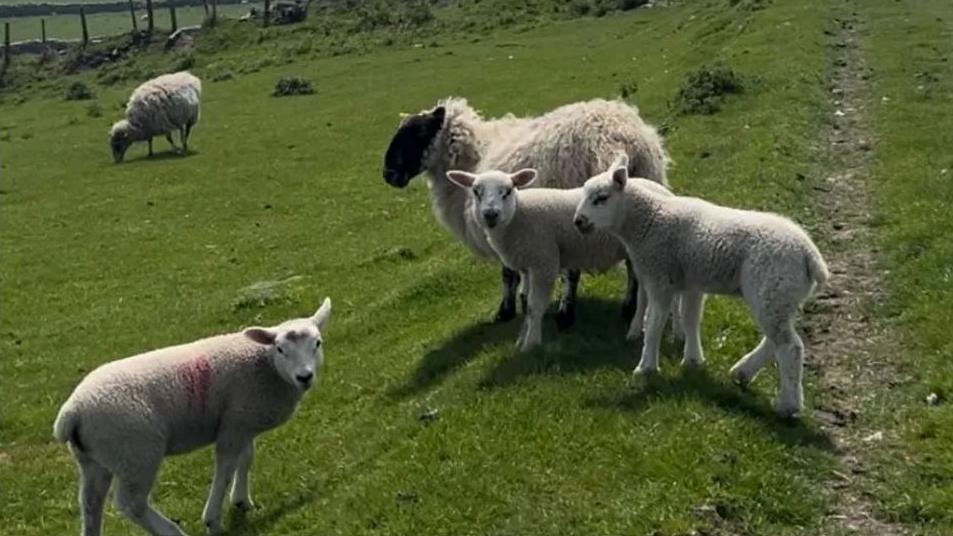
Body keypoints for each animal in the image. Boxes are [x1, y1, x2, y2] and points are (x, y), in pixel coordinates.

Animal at [54, 300, 334, 532]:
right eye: (280, 349)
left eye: (317, 343)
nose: (304, 376)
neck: (265, 366)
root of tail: (72, 411)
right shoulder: (234, 425)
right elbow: (226, 468)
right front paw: (213, 518)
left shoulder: (241, 419)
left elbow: (246, 459)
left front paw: (241, 500)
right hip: (136, 452)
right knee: (131, 504)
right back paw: (171, 531)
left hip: (95, 459)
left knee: (91, 505)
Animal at [382, 98, 668, 328]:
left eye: (419, 131)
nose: (388, 174)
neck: (473, 157)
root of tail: (616, 139)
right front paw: (524, 298)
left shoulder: (500, 226)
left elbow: (508, 272)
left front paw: (506, 310)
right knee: (633, 262)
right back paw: (629, 307)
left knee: (573, 272)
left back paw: (566, 315)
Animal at [446, 168, 676, 352]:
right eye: (476, 192)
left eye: (508, 191)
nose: (490, 214)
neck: (518, 217)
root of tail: (664, 190)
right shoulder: (528, 266)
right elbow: (525, 301)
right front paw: (522, 338)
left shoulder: (544, 261)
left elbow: (534, 306)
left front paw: (530, 344)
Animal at [572, 157, 824, 416]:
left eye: (601, 198)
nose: (578, 221)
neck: (648, 220)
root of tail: (810, 255)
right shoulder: (691, 282)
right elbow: (691, 319)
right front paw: (693, 361)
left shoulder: (659, 278)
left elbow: (653, 324)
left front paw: (646, 367)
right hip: (781, 296)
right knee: (774, 339)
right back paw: (742, 373)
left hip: (772, 287)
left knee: (789, 346)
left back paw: (788, 405)